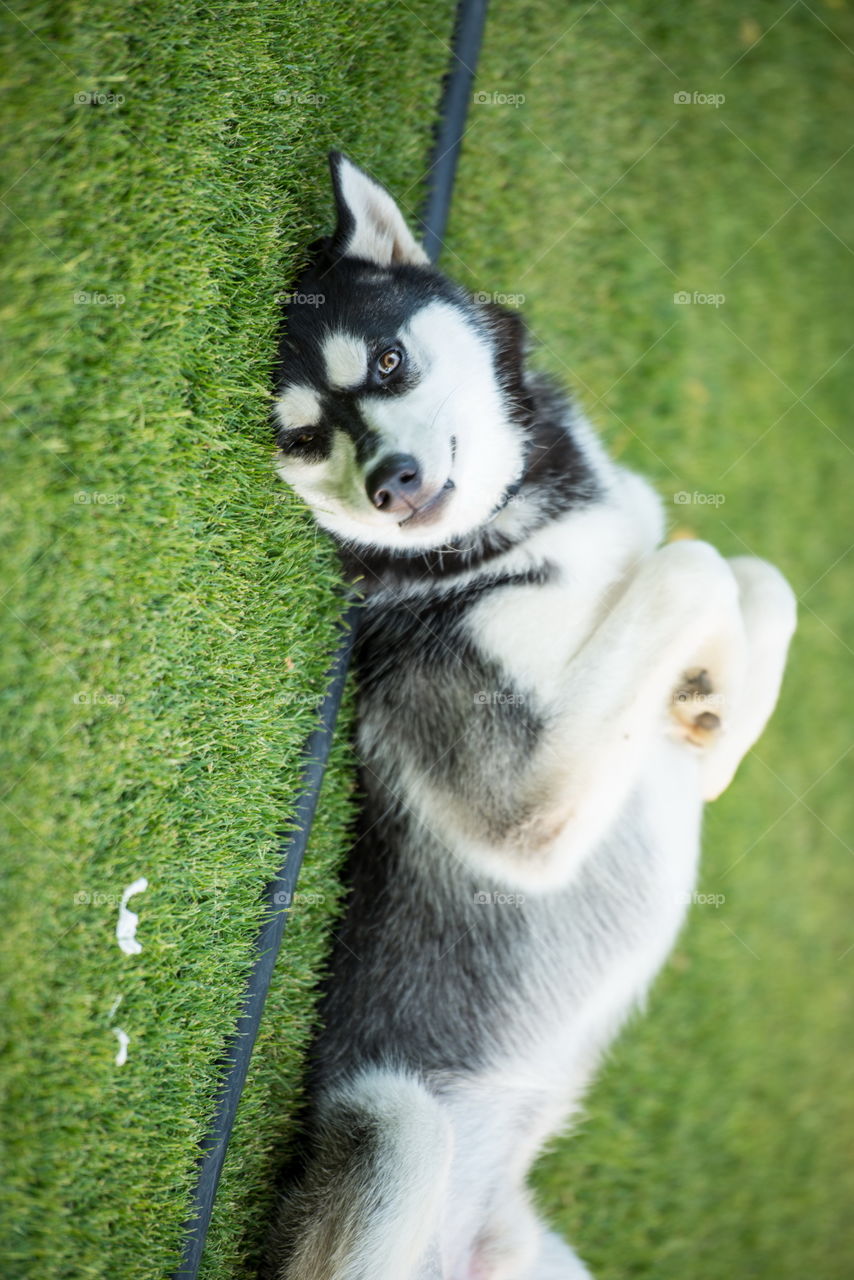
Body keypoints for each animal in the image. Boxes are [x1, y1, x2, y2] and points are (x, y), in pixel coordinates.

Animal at [270, 154, 798, 1274]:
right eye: (305, 437)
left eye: (387, 361)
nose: (390, 485)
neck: (513, 530)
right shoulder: (520, 798)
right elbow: (694, 565)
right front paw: (715, 702)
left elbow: (751, 575)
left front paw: (717, 715)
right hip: (402, 1129)